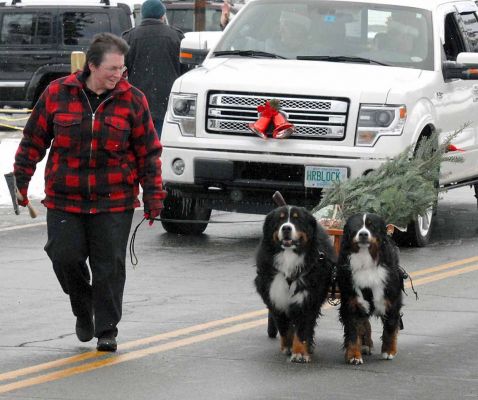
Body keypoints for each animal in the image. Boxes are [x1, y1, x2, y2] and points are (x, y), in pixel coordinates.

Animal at [254, 205, 336, 364]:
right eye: (280, 219)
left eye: (297, 219)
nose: (286, 228)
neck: (289, 258)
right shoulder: (275, 297)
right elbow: (284, 327)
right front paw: (288, 347)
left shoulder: (307, 298)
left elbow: (302, 329)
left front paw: (299, 353)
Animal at [336, 214, 404, 364]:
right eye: (356, 227)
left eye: (372, 226)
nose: (363, 234)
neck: (365, 260)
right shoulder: (352, 302)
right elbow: (353, 332)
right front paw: (354, 355)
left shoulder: (391, 300)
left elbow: (390, 327)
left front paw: (388, 351)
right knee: (364, 322)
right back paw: (366, 344)